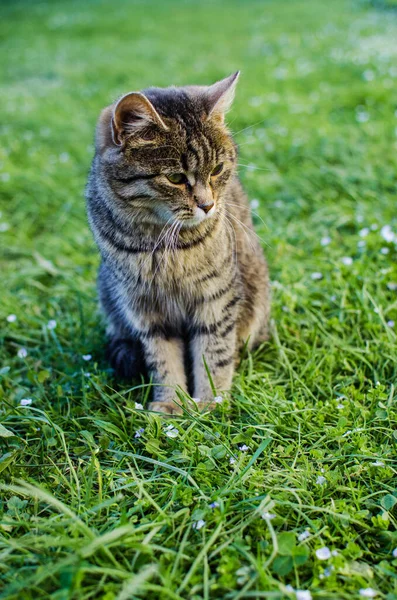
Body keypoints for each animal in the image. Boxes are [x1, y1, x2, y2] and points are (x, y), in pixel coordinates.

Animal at [84, 72, 268, 414]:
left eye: (217, 170)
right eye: (175, 178)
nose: (208, 205)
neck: (158, 243)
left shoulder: (216, 299)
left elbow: (214, 354)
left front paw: (210, 402)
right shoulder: (144, 308)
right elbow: (163, 359)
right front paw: (171, 403)